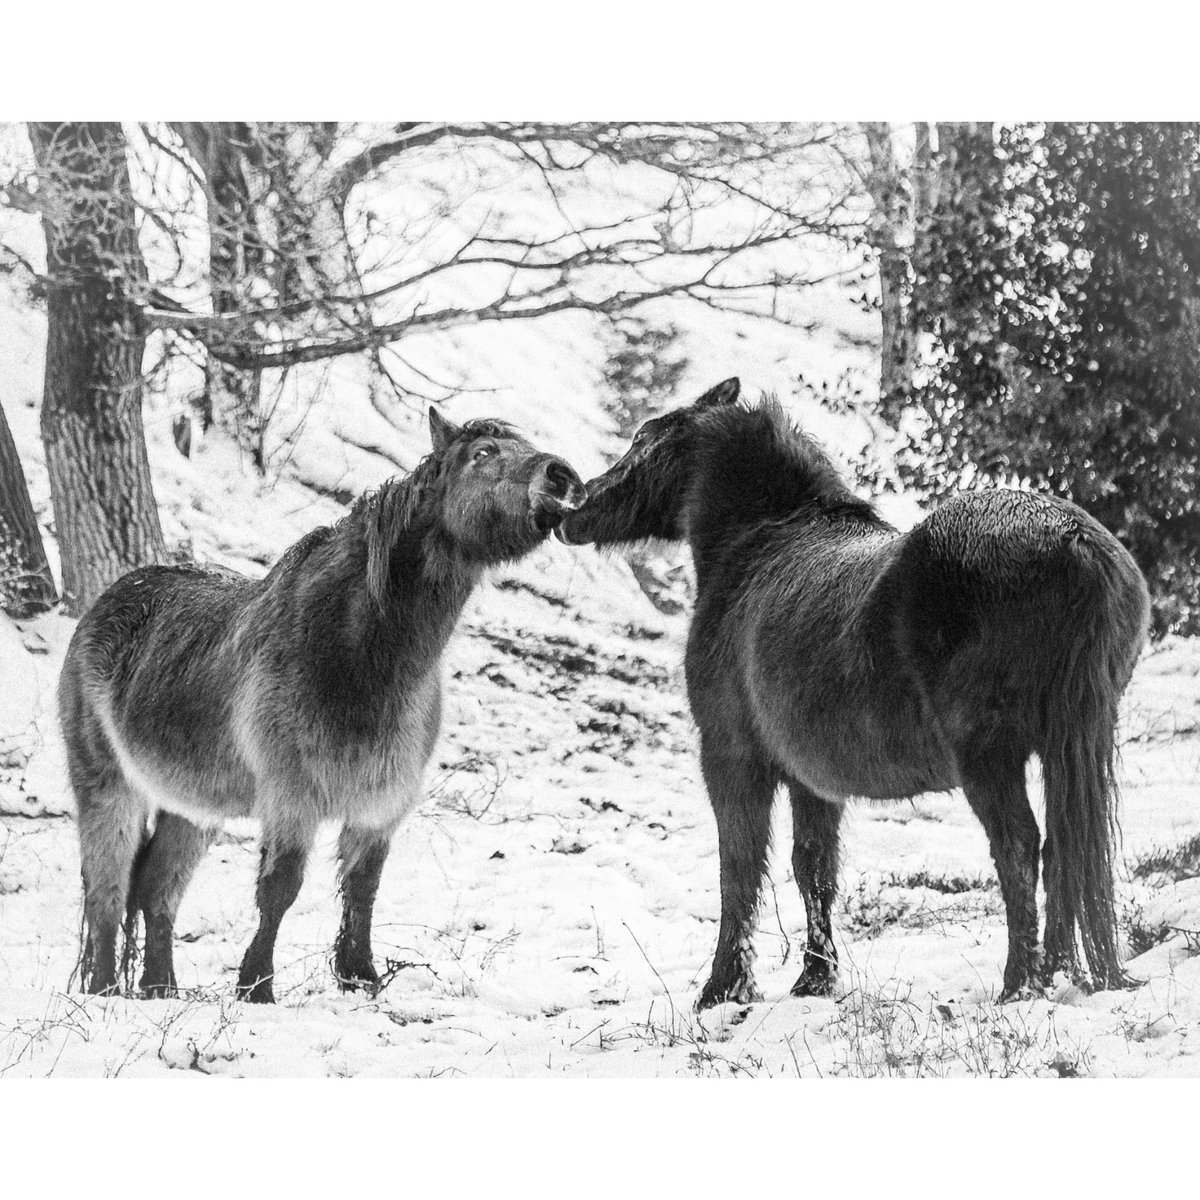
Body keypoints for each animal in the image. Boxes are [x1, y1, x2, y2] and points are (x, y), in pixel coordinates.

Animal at [60, 408, 585, 1003]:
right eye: (483, 454)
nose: (562, 477)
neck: (357, 654)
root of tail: (107, 602)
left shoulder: (381, 806)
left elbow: (363, 887)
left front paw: (361, 976)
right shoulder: (294, 797)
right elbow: (280, 888)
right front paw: (257, 987)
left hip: (193, 807)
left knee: (156, 890)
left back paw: (159, 990)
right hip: (109, 788)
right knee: (106, 891)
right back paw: (104, 991)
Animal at [558, 378, 1150, 1007]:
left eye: (643, 439)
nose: (573, 508)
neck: (760, 547)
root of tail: (1075, 542)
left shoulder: (732, 758)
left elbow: (739, 868)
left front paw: (723, 990)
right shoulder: (810, 779)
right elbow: (813, 869)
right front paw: (814, 980)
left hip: (990, 756)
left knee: (1019, 848)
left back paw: (1019, 984)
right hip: (1066, 744)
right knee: (1066, 850)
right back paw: (1062, 975)